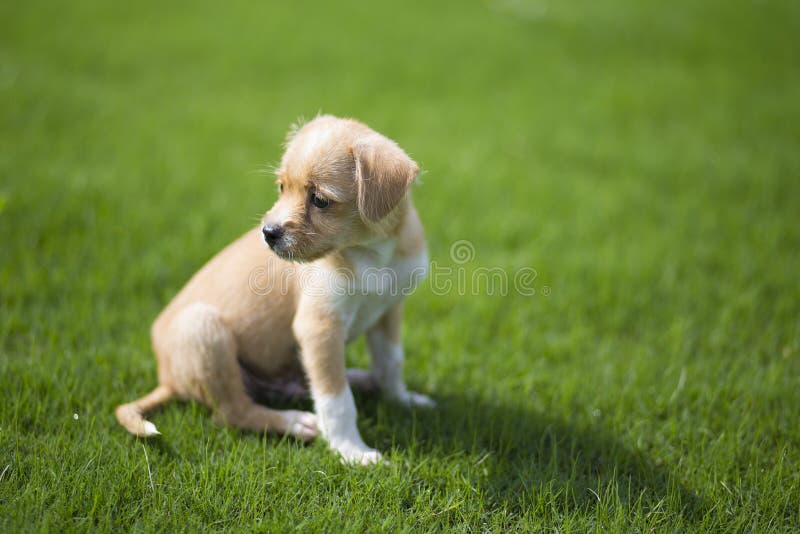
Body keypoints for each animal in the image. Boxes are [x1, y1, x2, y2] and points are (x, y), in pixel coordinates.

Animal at [114, 116, 432, 464]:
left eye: (320, 200)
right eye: (281, 187)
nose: (268, 233)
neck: (371, 253)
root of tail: (166, 379)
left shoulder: (388, 310)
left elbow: (391, 362)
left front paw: (403, 400)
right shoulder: (319, 327)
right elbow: (336, 398)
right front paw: (351, 450)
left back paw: (361, 380)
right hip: (204, 330)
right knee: (232, 412)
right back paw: (294, 422)